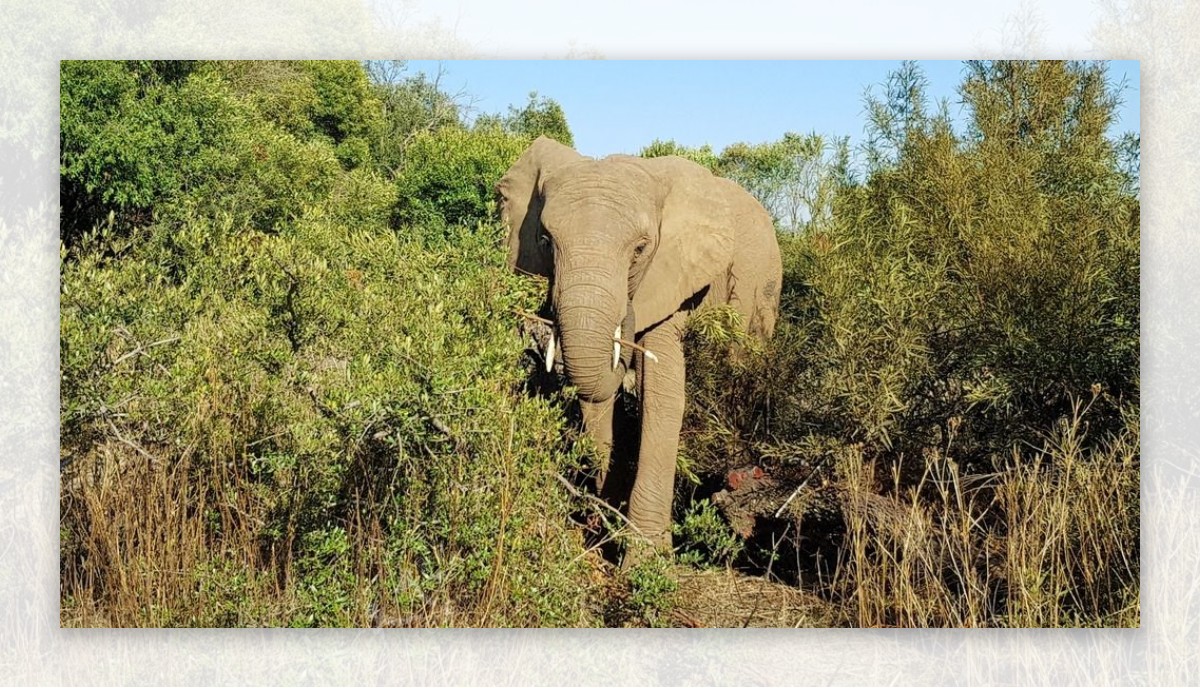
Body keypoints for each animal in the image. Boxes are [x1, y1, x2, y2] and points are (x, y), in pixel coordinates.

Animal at [494, 135, 782, 564]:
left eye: (640, 250)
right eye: (545, 242)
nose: (626, 317)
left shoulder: (673, 277)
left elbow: (661, 394)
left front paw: (644, 561)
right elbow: (597, 396)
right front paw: (603, 525)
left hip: (764, 290)